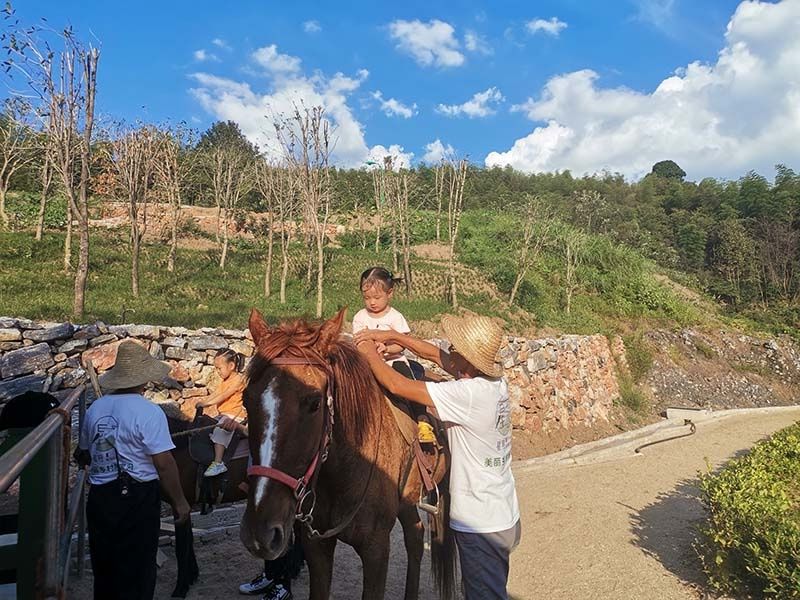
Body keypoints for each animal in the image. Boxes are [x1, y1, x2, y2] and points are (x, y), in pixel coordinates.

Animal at [238, 310, 456, 600]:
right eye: (246, 400)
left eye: (315, 403)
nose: (260, 532)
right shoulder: (316, 546)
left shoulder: (376, 549)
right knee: (415, 536)